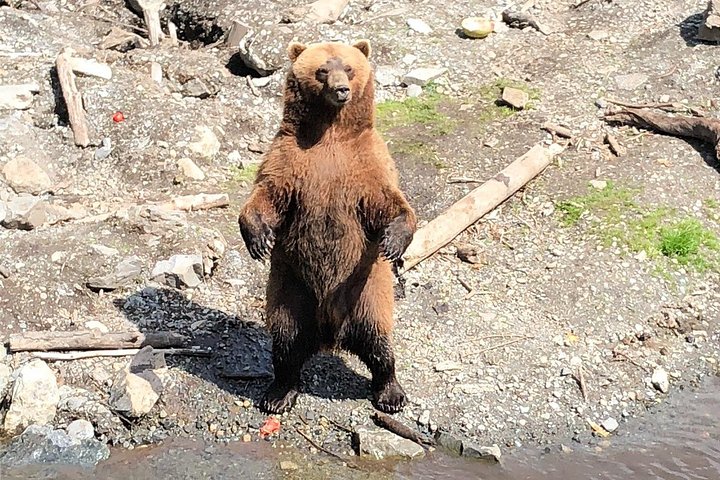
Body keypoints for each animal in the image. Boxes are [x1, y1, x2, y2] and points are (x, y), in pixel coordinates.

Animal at [238, 39, 417, 415]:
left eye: (348, 67)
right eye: (322, 70)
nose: (341, 89)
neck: (330, 135)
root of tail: (330, 334)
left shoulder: (366, 164)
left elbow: (390, 202)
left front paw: (394, 241)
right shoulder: (289, 157)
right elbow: (266, 194)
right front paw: (258, 239)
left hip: (364, 294)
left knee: (379, 342)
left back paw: (390, 393)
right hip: (291, 292)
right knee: (286, 342)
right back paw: (279, 394)